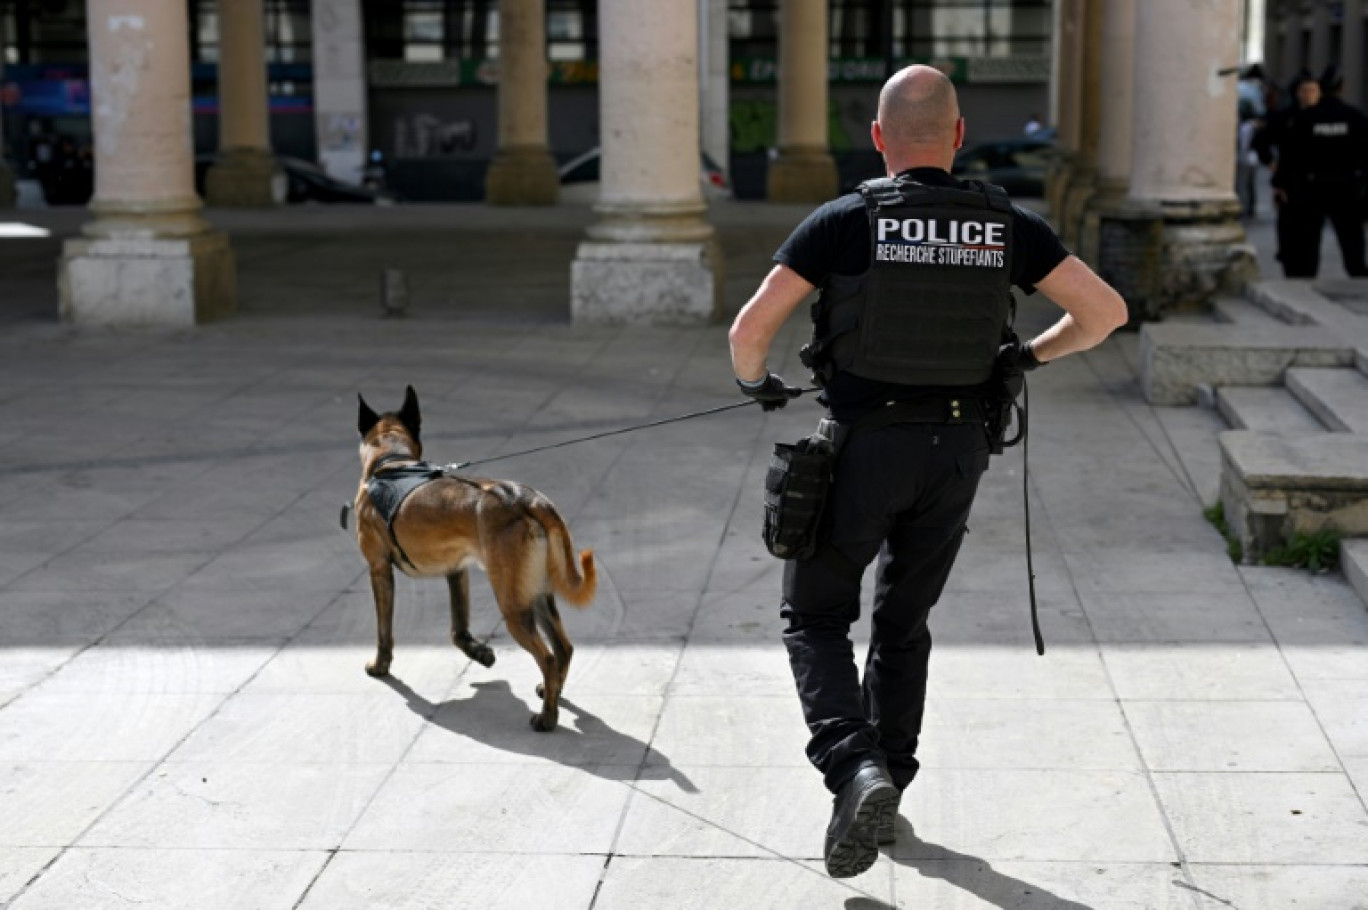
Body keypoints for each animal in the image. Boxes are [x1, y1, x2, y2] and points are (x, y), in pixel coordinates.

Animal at [352, 385, 593, 728]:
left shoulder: (379, 569)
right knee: (564, 648)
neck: (392, 461)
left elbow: (384, 631)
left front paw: (380, 666)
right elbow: (458, 629)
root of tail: (526, 499)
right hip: (535, 593)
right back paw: (552, 692)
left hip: (513, 605)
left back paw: (547, 717)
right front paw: (479, 653)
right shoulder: (457, 571)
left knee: (546, 656)